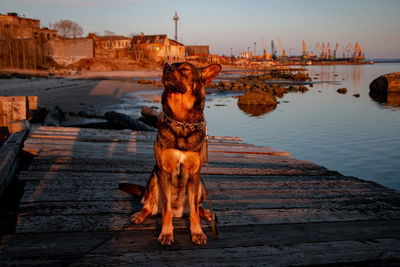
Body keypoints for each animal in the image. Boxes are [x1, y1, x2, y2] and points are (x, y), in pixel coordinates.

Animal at [120, 61, 223, 246]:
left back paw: (207, 213)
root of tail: (179, 212)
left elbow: (194, 212)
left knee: (197, 206)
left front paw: (197, 232)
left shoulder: (195, 174)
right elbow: (166, 209)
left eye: (185, 69)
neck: (181, 121)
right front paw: (167, 233)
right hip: (153, 179)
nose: (166, 68)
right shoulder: (164, 172)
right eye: (167, 64)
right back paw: (140, 215)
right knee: (149, 205)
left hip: (202, 185)